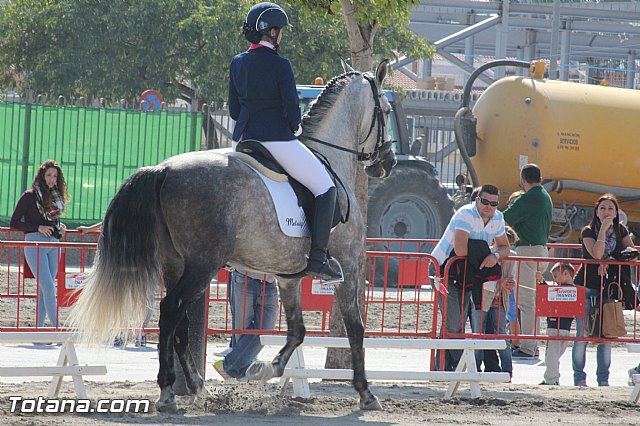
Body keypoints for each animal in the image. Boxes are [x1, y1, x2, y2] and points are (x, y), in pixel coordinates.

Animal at [69, 60, 396, 412]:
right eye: (387, 110)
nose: (388, 163)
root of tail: (163, 170)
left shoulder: (288, 277)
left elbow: (297, 330)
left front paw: (266, 369)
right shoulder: (348, 264)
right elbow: (355, 327)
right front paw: (366, 393)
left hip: (175, 263)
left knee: (180, 321)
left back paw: (197, 385)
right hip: (202, 265)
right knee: (171, 311)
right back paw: (168, 391)